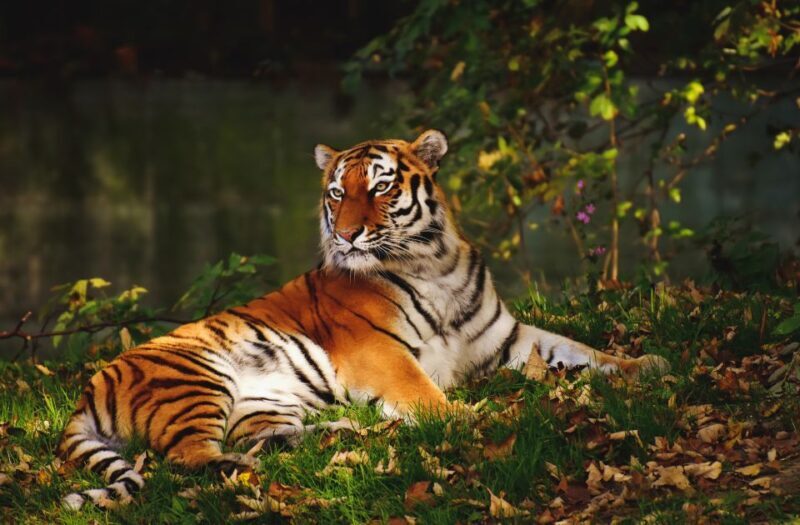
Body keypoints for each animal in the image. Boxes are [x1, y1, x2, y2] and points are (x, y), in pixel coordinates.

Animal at [57, 129, 667, 510]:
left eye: (380, 185)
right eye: (335, 192)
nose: (348, 234)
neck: (435, 263)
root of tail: (88, 388)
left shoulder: (507, 337)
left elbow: (581, 350)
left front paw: (648, 363)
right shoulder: (380, 352)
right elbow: (426, 394)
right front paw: (473, 417)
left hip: (263, 399)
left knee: (263, 439)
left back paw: (350, 431)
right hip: (197, 377)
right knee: (188, 459)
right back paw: (242, 470)